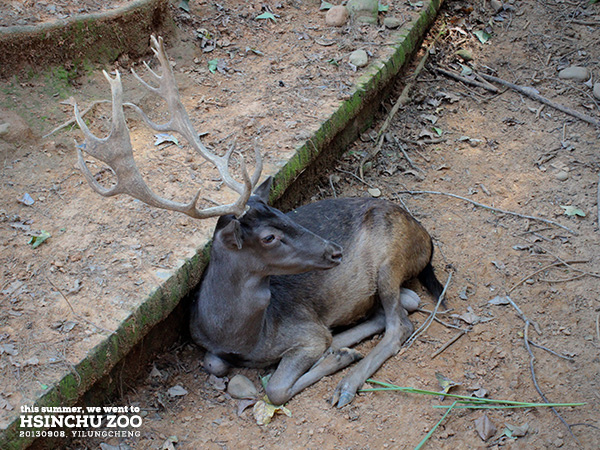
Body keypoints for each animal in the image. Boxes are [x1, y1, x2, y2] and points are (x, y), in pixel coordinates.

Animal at [72, 35, 442, 408]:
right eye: (269, 236)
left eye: (281, 211)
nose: (336, 252)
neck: (241, 335)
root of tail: (426, 237)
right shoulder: (209, 344)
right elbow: (215, 363)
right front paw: (337, 351)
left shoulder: (306, 331)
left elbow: (275, 390)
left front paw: (337, 357)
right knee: (404, 306)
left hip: (390, 257)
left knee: (401, 323)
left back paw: (347, 381)